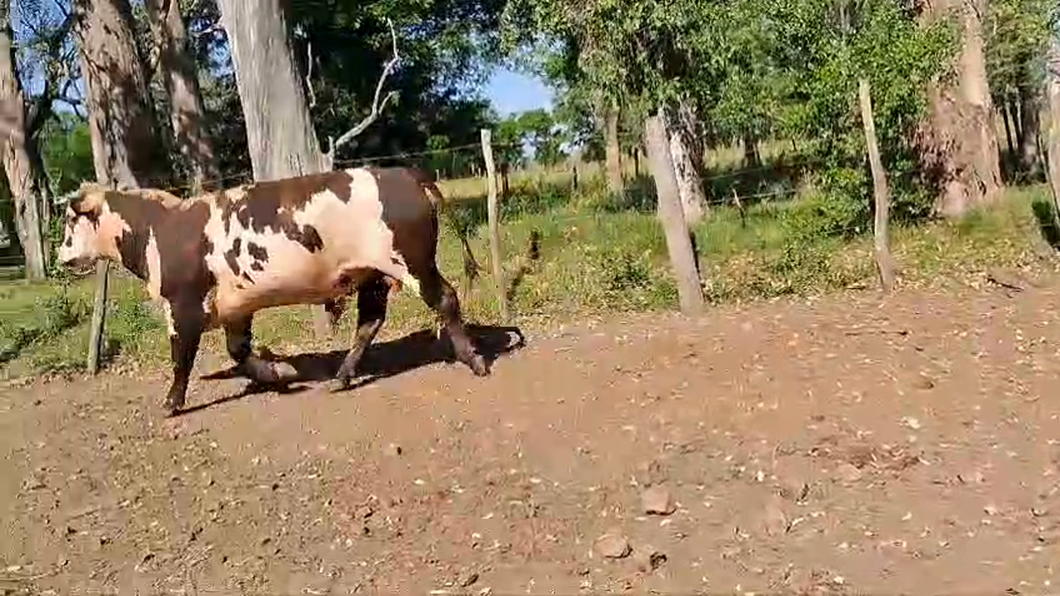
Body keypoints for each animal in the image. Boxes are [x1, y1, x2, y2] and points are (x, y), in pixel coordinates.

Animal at [58, 163, 487, 413]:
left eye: (69, 223)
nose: (61, 257)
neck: (159, 229)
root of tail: (406, 173)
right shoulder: (236, 305)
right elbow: (238, 350)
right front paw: (276, 373)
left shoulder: (183, 306)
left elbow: (182, 357)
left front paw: (171, 402)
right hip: (373, 275)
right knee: (369, 322)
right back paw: (342, 376)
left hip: (411, 262)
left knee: (445, 299)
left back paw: (474, 360)